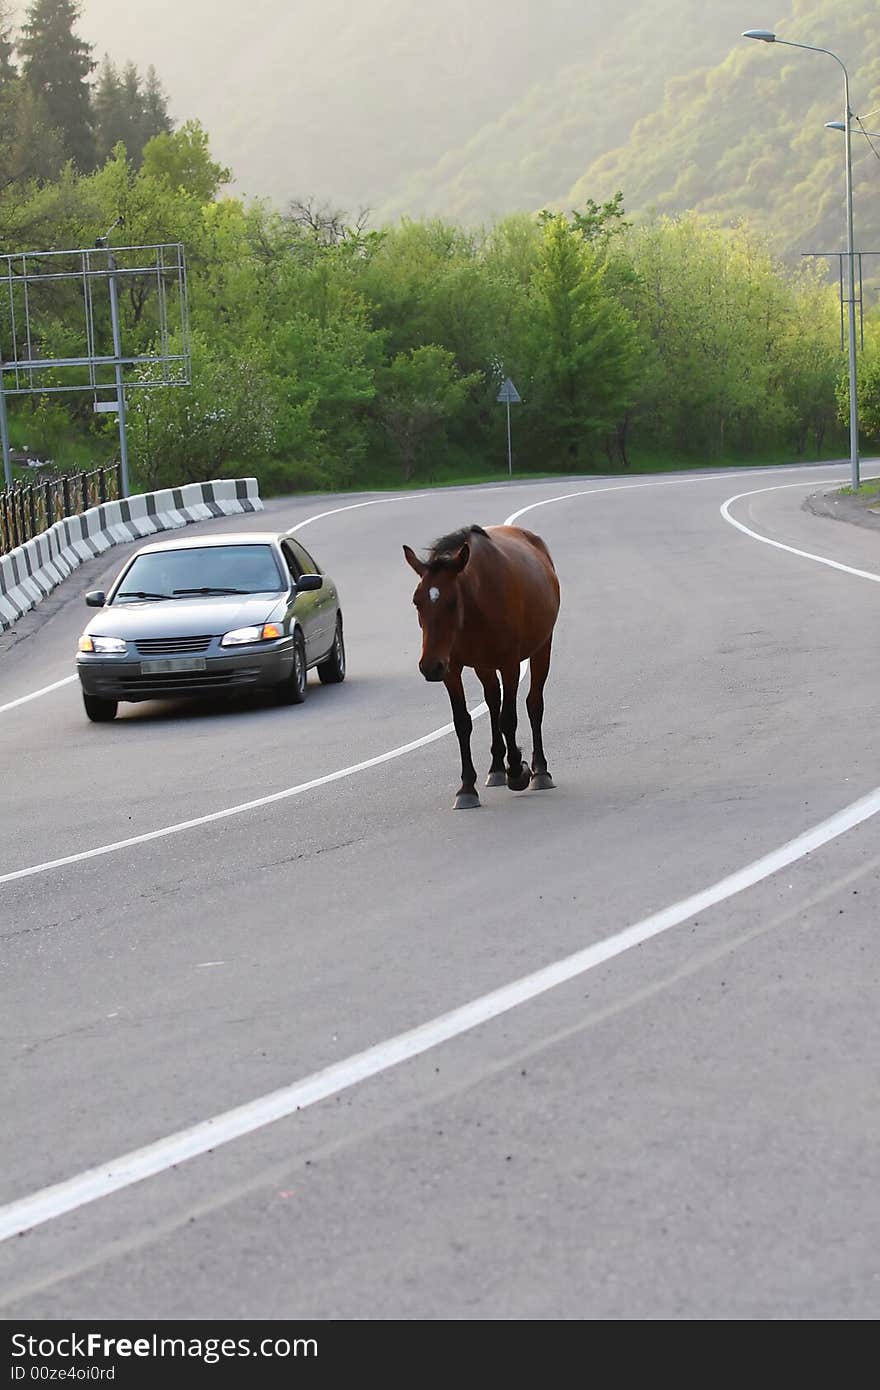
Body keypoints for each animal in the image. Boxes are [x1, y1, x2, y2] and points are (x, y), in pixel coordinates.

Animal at [403, 522, 558, 811]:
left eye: (452, 601)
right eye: (417, 601)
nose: (429, 666)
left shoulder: (509, 664)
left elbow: (509, 719)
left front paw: (518, 771)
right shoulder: (451, 669)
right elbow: (463, 722)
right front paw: (466, 788)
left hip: (542, 648)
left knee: (533, 704)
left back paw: (540, 771)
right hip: (483, 666)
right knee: (493, 701)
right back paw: (496, 768)